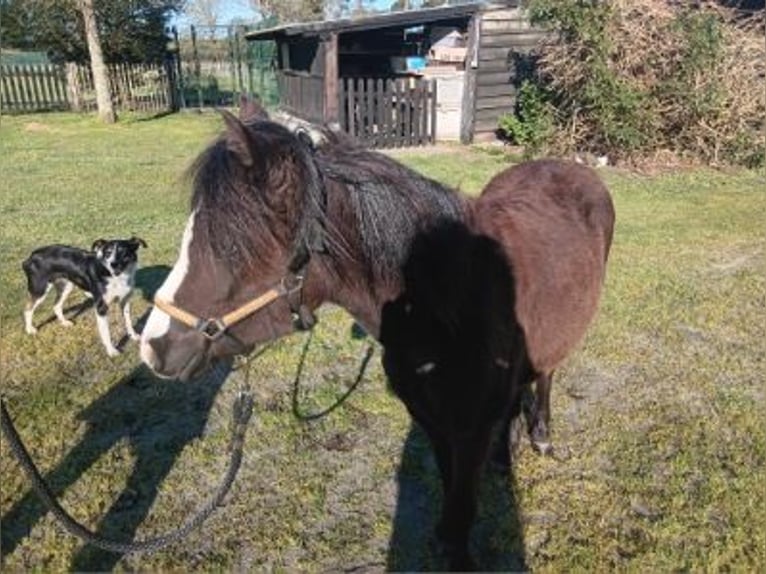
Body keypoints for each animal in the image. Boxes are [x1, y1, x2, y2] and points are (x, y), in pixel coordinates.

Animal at [139, 100, 615, 569]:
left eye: (231, 247)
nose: (153, 347)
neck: (440, 306)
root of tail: (570, 166)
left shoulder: (470, 431)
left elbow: (461, 515)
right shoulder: (433, 423)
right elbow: (451, 504)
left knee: (547, 375)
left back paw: (542, 437)